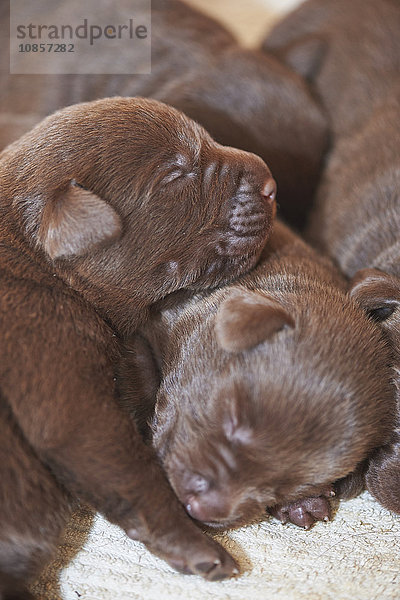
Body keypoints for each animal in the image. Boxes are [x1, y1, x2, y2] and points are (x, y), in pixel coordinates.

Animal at [0, 96, 276, 592]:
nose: (271, 183)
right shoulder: (66, 388)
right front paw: (199, 548)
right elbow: (135, 473)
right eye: (175, 174)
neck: (37, 266)